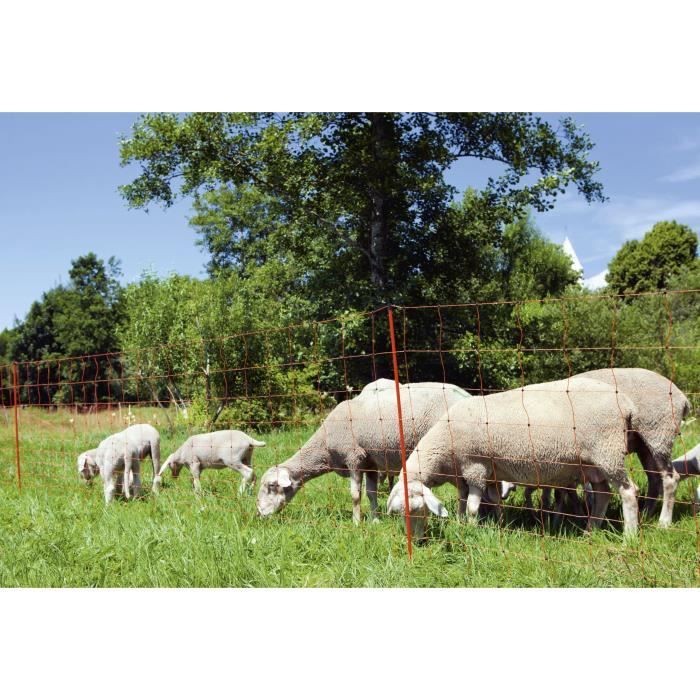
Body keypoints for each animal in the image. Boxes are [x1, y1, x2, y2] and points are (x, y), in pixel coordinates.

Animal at [256, 381, 470, 523]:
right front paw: (375, 520)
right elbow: (371, 493)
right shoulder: (371, 464)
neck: (324, 446)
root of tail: (466, 395)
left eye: (271, 486)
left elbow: (355, 495)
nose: (259, 513)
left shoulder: (354, 458)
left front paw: (356, 522)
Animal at [386, 377, 640, 540]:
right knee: (603, 493)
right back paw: (591, 531)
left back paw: (629, 537)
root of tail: (627, 403)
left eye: (419, 510)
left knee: (628, 492)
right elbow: (471, 502)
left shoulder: (476, 467)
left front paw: (470, 529)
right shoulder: (473, 475)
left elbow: (471, 507)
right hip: (592, 463)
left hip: (608, 450)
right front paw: (493, 524)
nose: (417, 542)